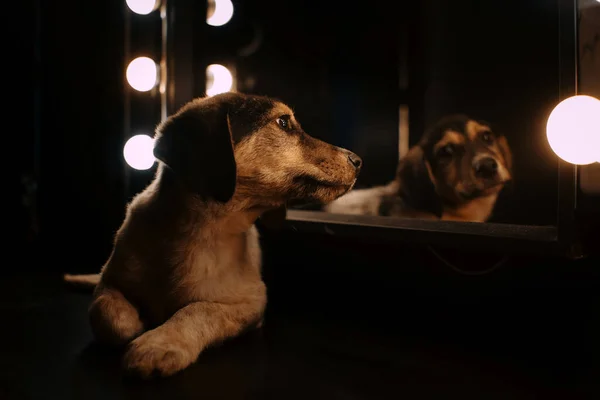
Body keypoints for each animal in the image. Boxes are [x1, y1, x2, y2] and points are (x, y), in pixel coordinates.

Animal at [62, 92, 360, 380]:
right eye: (283, 122)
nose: (358, 161)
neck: (197, 231)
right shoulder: (110, 282)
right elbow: (108, 315)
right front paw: (137, 322)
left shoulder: (252, 302)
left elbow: (200, 309)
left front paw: (160, 343)